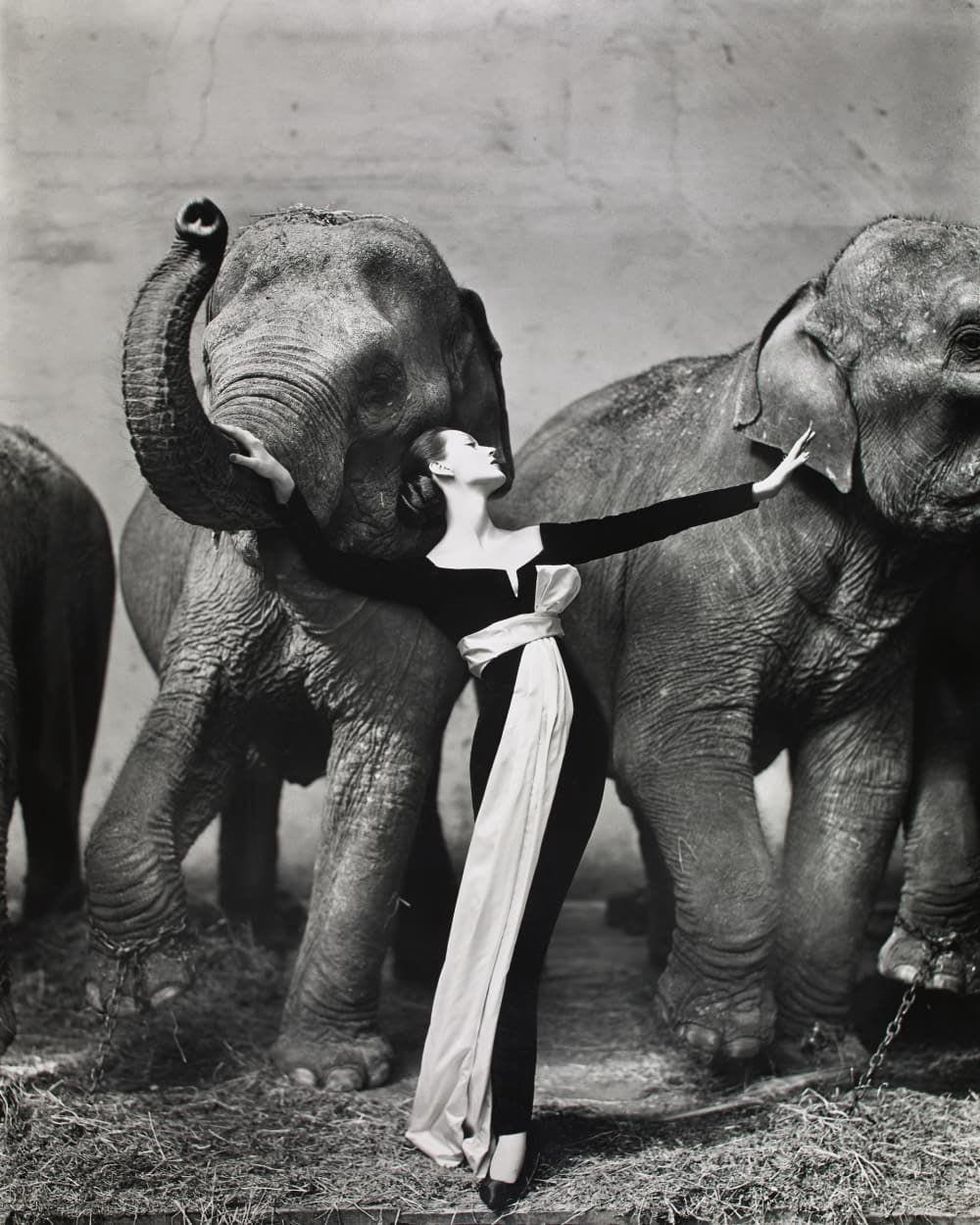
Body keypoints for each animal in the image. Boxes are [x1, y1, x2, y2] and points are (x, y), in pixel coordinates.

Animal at [83, 198, 512, 1089]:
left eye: (380, 385)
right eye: (208, 359)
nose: (200, 220)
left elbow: (383, 767)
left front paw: (325, 1076)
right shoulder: (211, 598)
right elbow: (188, 722)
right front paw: (149, 992)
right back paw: (255, 933)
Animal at [496, 215, 980, 1062]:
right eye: (974, 340)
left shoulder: (890, 630)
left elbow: (860, 775)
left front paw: (818, 1050)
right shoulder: (692, 577)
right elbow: (673, 745)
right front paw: (715, 1042)